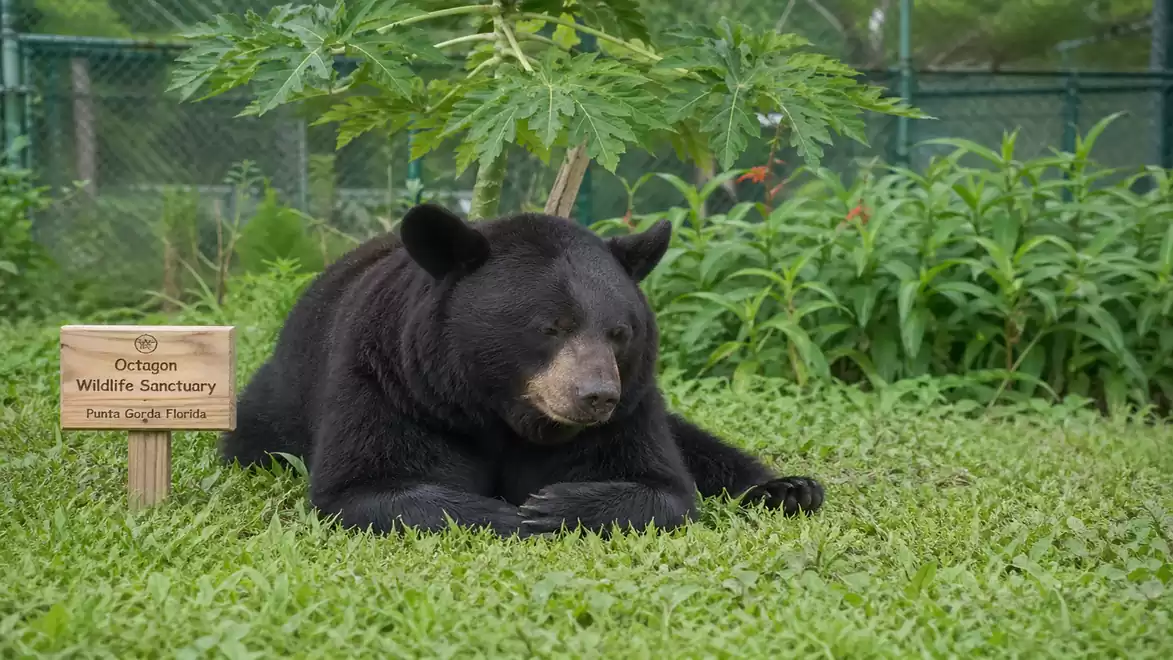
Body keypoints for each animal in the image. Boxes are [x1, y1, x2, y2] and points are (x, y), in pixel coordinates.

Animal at [219, 203, 824, 537]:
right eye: (550, 327)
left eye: (619, 332)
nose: (596, 395)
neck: (500, 409)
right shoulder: (391, 383)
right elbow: (362, 488)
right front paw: (502, 513)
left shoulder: (634, 403)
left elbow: (663, 487)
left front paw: (552, 506)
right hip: (273, 407)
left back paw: (790, 489)